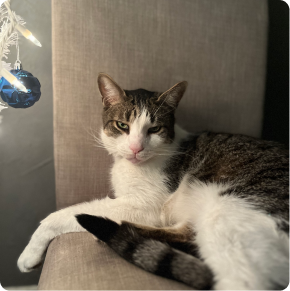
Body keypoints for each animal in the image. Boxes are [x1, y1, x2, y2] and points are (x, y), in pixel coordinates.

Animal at [18, 73, 290, 291]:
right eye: (122, 125)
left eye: (155, 129)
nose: (136, 148)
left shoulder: (148, 205)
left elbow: (61, 215)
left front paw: (29, 253)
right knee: (189, 237)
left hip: (230, 210)